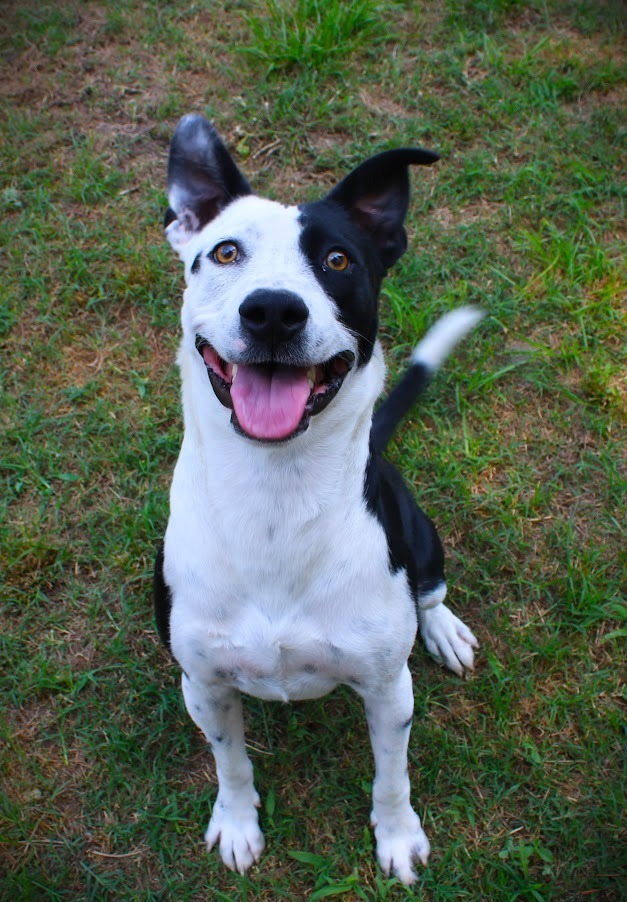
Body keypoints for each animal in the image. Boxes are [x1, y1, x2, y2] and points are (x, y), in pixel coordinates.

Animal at [155, 115, 484, 888]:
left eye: (337, 260)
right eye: (225, 251)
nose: (273, 311)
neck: (276, 494)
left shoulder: (389, 692)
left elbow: (392, 777)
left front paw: (397, 838)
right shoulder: (203, 685)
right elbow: (231, 764)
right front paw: (237, 824)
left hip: (420, 533)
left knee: (430, 589)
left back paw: (444, 629)